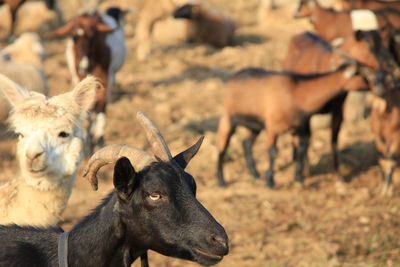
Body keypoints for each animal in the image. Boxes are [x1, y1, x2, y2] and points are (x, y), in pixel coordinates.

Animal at [49, 7, 126, 151]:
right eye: (73, 37)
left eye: (93, 36)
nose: (82, 66)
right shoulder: (80, 80)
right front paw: (88, 140)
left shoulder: (106, 80)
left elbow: (101, 106)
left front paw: (99, 139)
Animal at [217, 61, 380, 188]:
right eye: (365, 76)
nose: (379, 88)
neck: (298, 94)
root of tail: (233, 78)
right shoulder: (272, 128)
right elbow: (273, 153)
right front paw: (270, 181)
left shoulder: (299, 129)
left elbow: (302, 149)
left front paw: (299, 179)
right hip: (228, 117)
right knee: (223, 146)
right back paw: (221, 181)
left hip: (254, 125)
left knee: (246, 143)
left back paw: (255, 174)